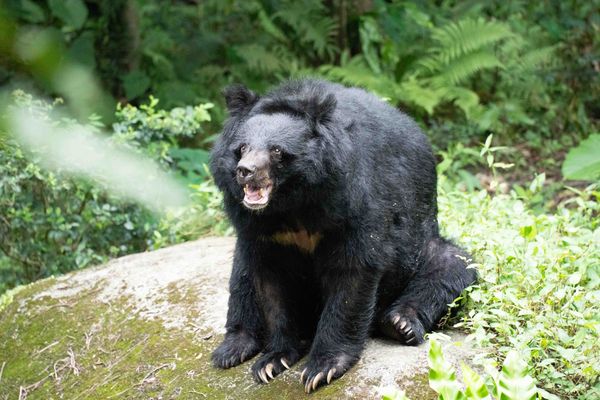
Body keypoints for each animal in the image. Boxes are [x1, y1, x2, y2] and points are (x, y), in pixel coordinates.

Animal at [209, 79, 476, 392]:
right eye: (242, 148)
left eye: (276, 151)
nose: (245, 172)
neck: (292, 203)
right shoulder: (258, 229)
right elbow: (271, 284)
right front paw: (272, 361)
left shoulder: (354, 201)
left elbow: (353, 274)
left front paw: (322, 368)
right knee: (241, 281)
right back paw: (232, 348)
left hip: (423, 245)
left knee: (452, 265)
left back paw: (400, 324)